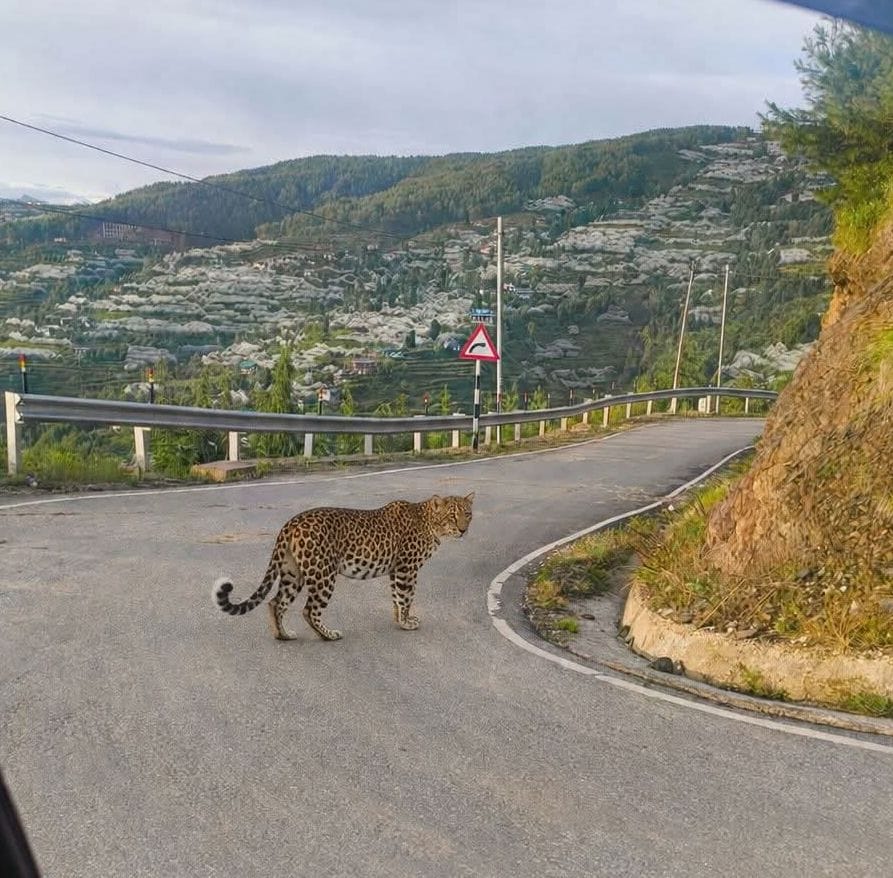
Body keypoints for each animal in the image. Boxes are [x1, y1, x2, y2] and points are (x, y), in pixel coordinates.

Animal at [213, 493, 474, 641]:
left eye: (468, 514)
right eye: (453, 516)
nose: (463, 530)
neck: (430, 523)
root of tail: (291, 523)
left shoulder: (395, 570)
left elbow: (396, 598)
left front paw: (400, 620)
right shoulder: (406, 569)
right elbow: (405, 597)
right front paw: (406, 623)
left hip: (292, 572)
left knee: (276, 602)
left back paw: (283, 635)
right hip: (324, 574)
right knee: (309, 610)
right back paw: (329, 635)